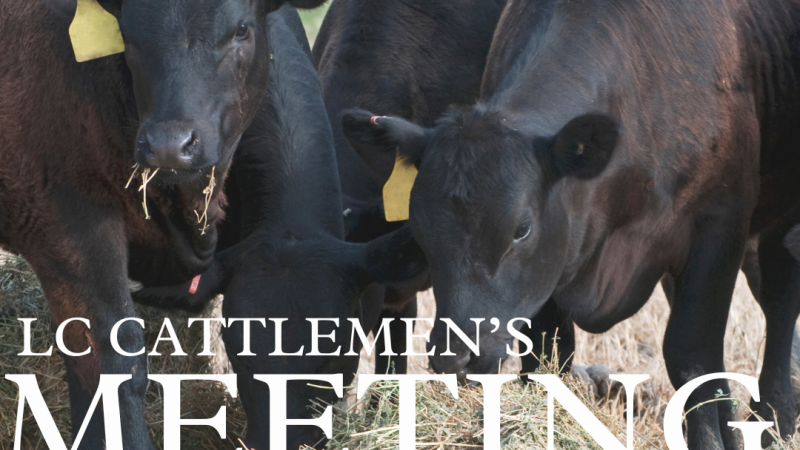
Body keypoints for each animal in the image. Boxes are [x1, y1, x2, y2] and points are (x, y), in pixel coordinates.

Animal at [346, 0, 800, 446]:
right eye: (420, 231)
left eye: (521, 229)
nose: (454, 355)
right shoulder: (549, 274)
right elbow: (548, 354)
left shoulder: (718, 224)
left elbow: (692, 359)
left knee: (779, 304)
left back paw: (774, 422)